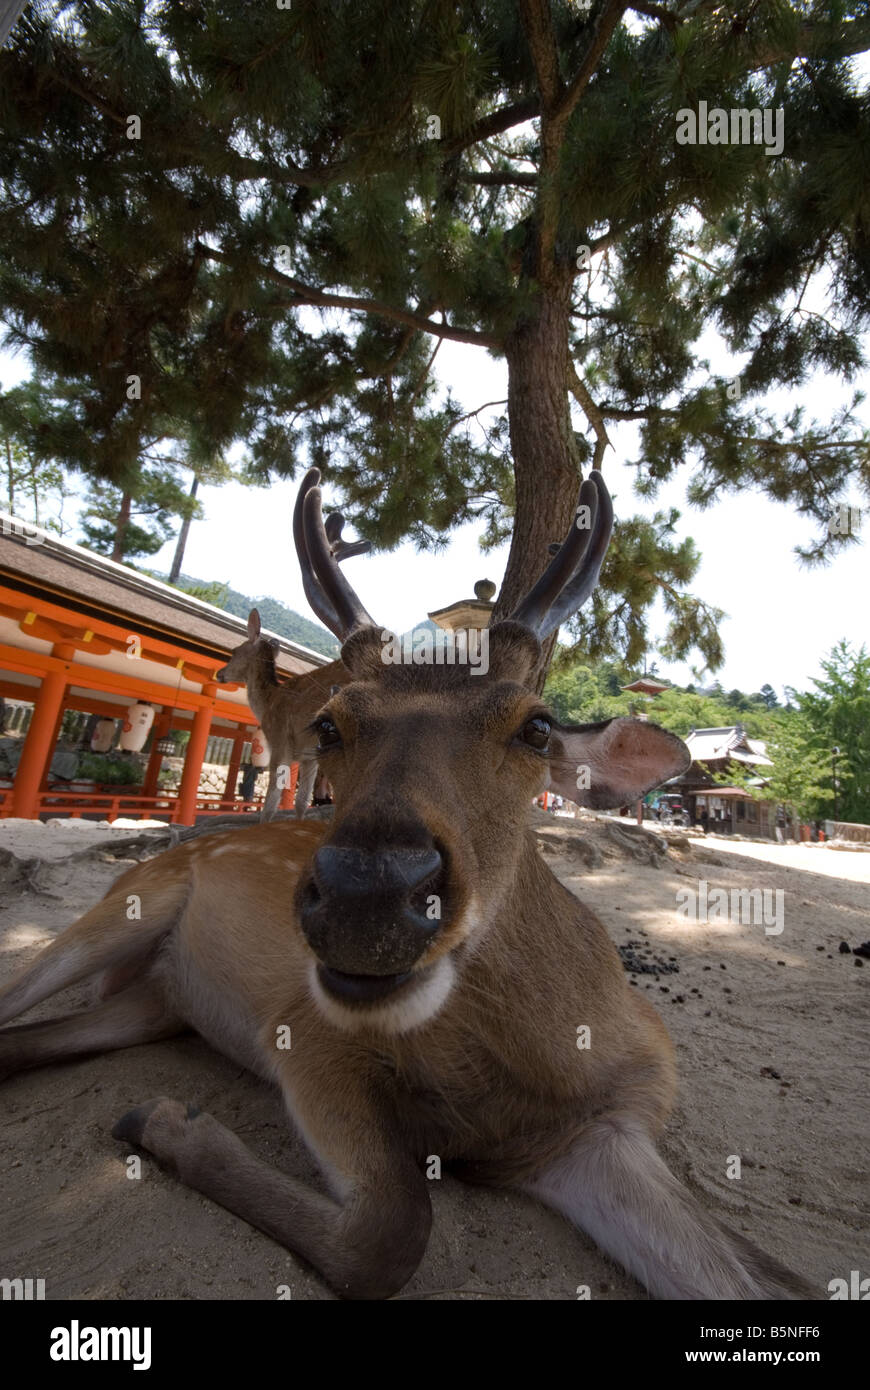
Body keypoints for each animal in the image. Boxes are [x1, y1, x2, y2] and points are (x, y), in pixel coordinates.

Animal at [0, 469, 811, 1301]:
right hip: (129, 902)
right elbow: (391, 1233)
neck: (532, 1077)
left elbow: (761, 1279)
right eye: (328, 725)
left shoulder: (606, 1130)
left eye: (538, 727)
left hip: (153, 1002)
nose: (369, 894)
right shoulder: (307, 1031)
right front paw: (165, 1121)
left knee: (18, 1045)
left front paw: (157, 1121)